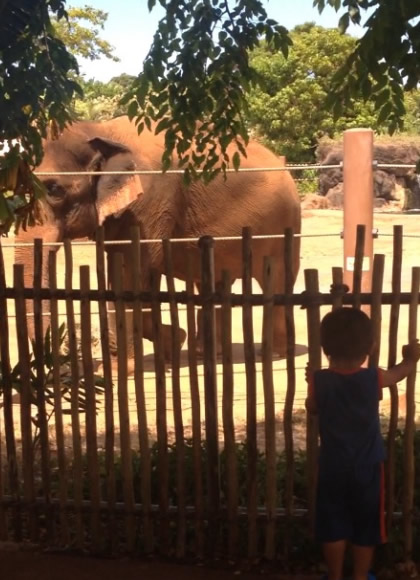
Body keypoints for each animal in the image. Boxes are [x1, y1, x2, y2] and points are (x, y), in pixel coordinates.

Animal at [14, 116, 300, 362]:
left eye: (54, 190)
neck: (100, 129)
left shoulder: (150, 200)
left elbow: (135, 269)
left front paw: (126, 366)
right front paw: (173, 343)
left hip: (284, 223)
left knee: (278, 278)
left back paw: (274, 354)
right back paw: (206, 355)